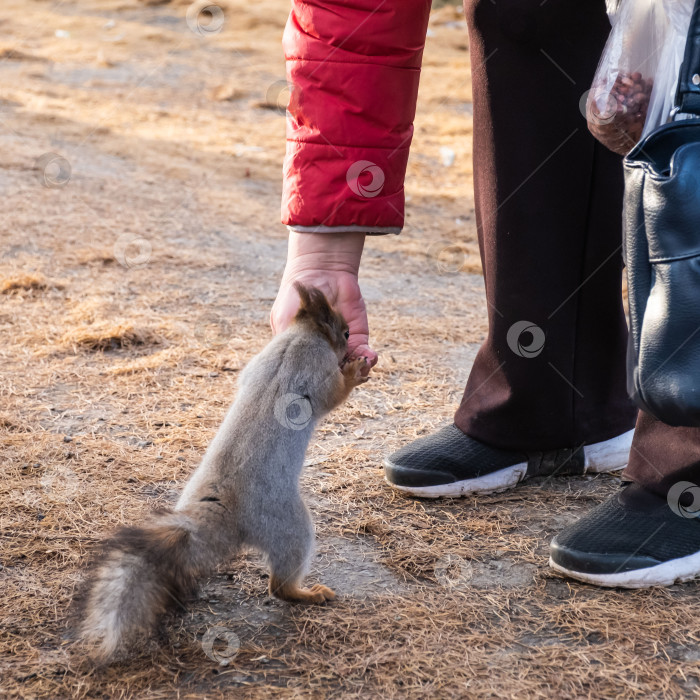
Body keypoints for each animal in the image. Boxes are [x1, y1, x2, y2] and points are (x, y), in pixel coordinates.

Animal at [76, 284, 370, 660]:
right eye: (344, 333)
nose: (352, 345)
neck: (299, 334)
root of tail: (225, 510)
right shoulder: (314, 369)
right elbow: (333, 395)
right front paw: (356, 371)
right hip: (290, 527)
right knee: (280, 585)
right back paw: (308, 593)